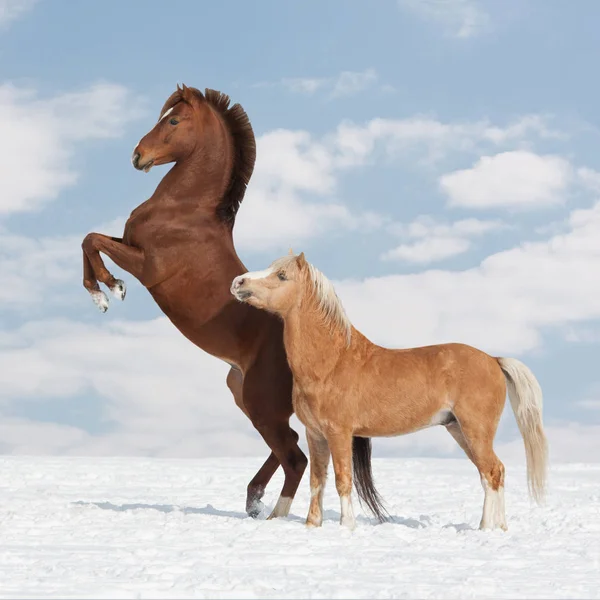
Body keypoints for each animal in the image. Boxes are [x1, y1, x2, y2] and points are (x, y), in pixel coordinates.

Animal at [81, 85, 314, 520]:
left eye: (173, 120)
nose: (137, 156)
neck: (185, 210)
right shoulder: (129, 245)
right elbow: (91, 239)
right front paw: (102, 294)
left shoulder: (146, 265)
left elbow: (92, 240)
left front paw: (111, 289)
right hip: (244, 396)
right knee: (288, 444)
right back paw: (253, 498)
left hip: (260, 402)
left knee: (295, 457)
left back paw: (272, 514)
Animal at [232, 252, 552, 528]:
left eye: (282, 275)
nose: (238, 283)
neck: (332, 361)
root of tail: (493, 360)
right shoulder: (315, 434)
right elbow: (317, 480)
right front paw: (313, 525)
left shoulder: (339, 432)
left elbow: (342, 479)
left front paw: (346, 526)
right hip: (459, 430)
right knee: (491, 474)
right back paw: (498, 528)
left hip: (476, 430)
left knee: (492, 472)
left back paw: (486, 528)